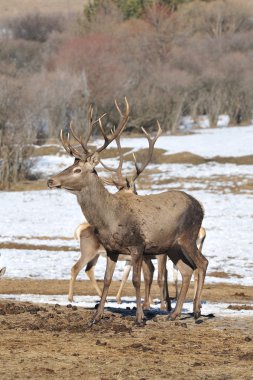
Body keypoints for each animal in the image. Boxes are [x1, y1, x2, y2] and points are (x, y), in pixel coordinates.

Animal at [48, 97, 209, 324]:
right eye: (69, 166)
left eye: (77, 170)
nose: (50, 180)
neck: (109, 219)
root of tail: (200, 205)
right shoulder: (111, 249)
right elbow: (107, 279)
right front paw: (96, 316)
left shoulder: (137, 246)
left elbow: (136, 280)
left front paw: (140, 317)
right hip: (172, 246)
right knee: (187, 269)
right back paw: (174, 314)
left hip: (188, 235)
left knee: (202, 263)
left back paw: (195, 312)